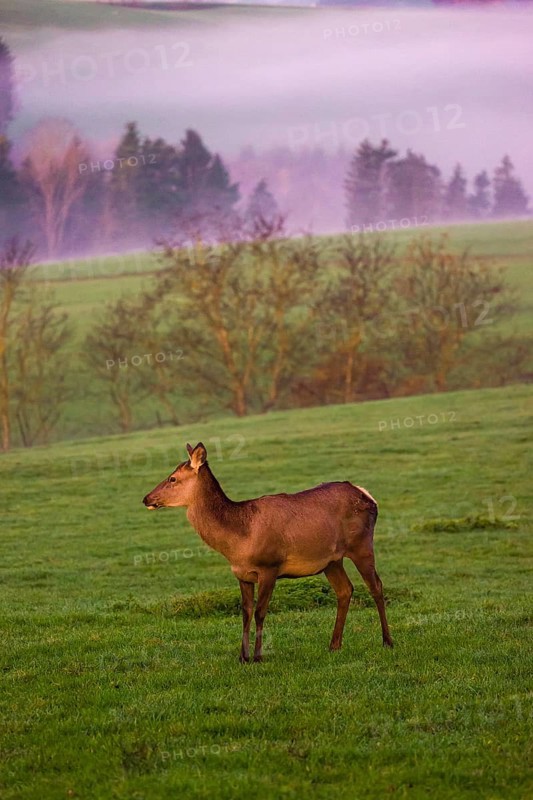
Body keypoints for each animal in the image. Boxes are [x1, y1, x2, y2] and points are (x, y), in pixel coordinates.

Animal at [142, 442, 393, 662]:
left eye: (172, 478)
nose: (146, 498)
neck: (237, 540)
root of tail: (368, 496)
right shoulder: (242, 574)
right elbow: (245, 612)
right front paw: (242, 657)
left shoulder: (269, 567)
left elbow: (261, 611)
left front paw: (258, 656)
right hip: (331, 560)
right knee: (345, 590)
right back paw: (334, 645)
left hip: (361, 545)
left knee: (376, 586)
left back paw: (387, 641)